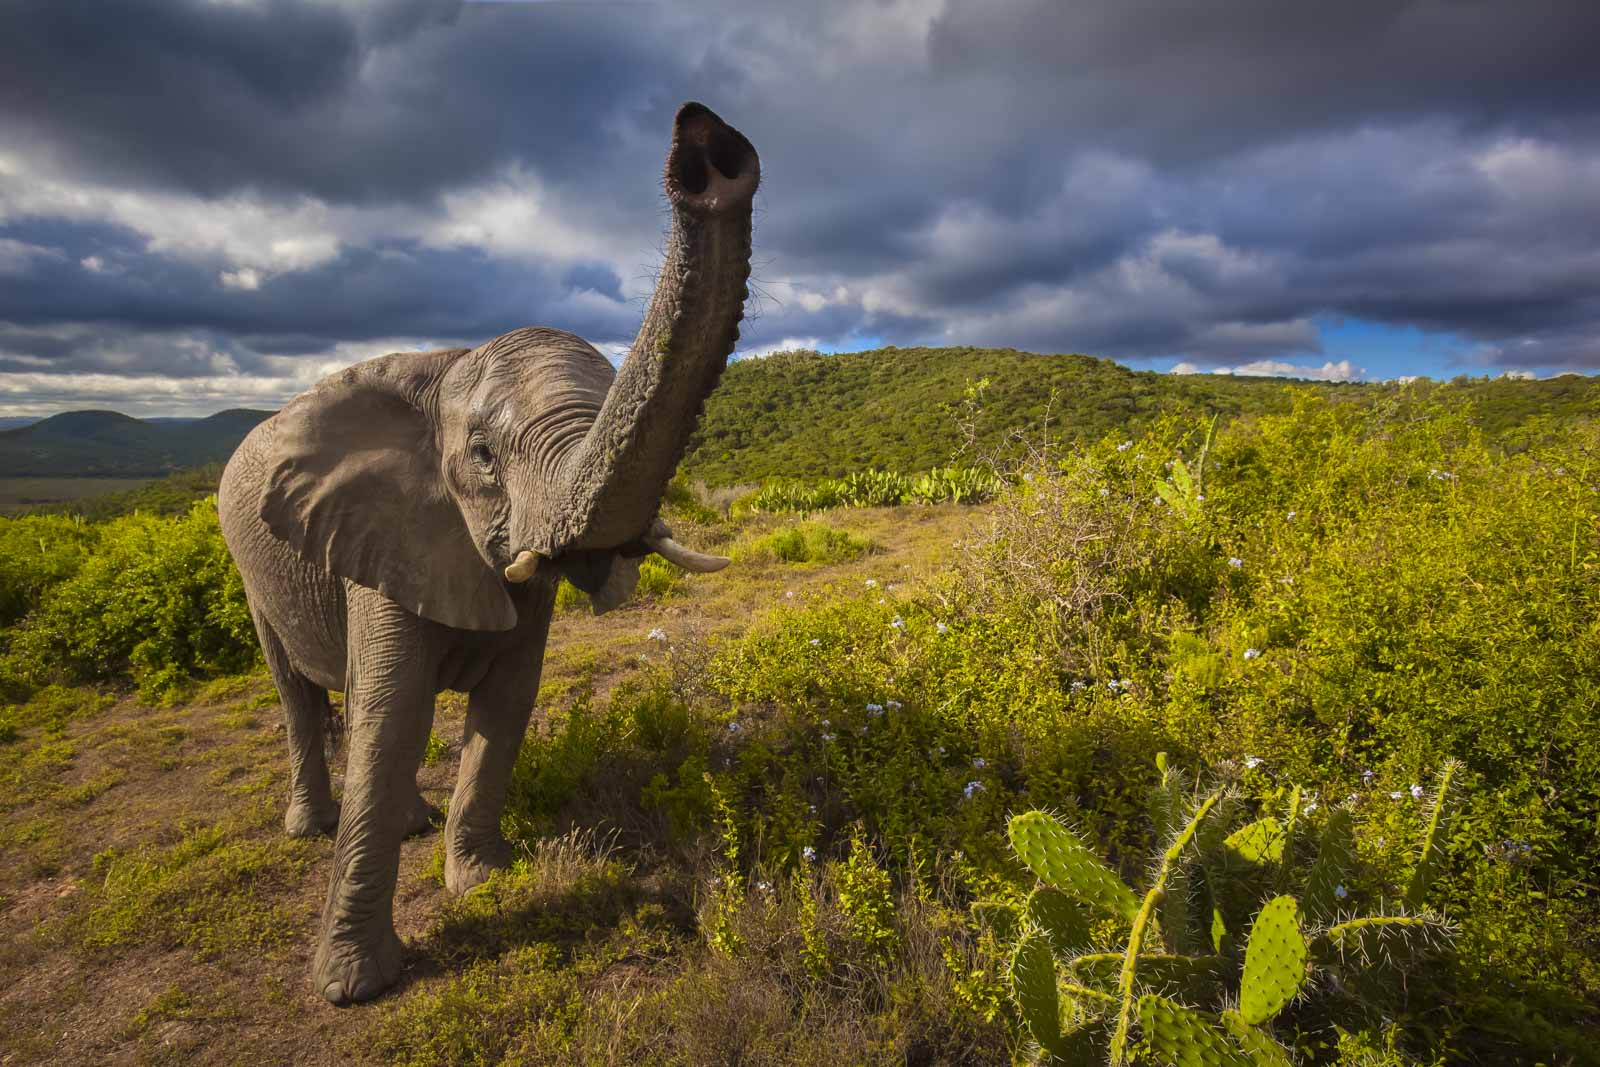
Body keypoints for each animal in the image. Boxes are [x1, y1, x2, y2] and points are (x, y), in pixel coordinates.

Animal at [217, 97, 755, 1004]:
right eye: (482, 456)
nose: (707, 153)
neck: (445, 369)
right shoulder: (382, 539)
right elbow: (390, 713)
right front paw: (352, 987)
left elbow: (504, 704)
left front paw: (480, 882)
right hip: (251, 571)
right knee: (298, 693)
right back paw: (309, 826)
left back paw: (411, 822)